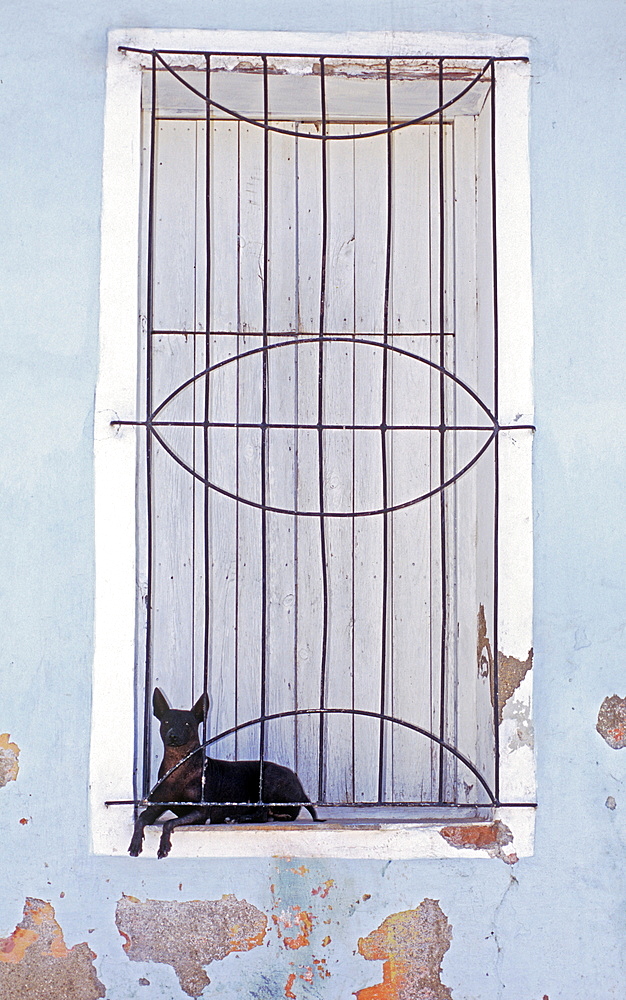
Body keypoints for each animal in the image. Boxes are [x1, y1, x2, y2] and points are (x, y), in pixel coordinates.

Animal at [127, 688, 322, 860]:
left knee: (263, 814)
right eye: (166, 722)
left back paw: (238, 818)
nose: (173, 735)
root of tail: (301, 790)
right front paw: (135, 842)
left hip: (268, 779)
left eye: (187, 724)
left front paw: (164, 845)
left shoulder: (202, 812)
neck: (178, 765)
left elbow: (168, 823)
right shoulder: (157, 805)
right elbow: (141, 819)